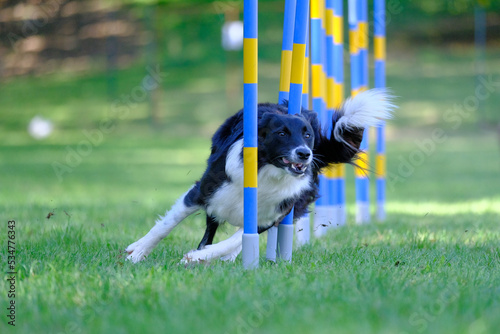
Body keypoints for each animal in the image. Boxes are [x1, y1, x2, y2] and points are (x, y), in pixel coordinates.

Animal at [125, 88, 394, 264]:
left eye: (307, 135)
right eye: (281, 133)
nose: (305, 154)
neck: (267, 173)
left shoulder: (273, 214)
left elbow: (237, 239)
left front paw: (200, 256)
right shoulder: (203, 191)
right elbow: (165, 225)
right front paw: (138, 252)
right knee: (210, 226)